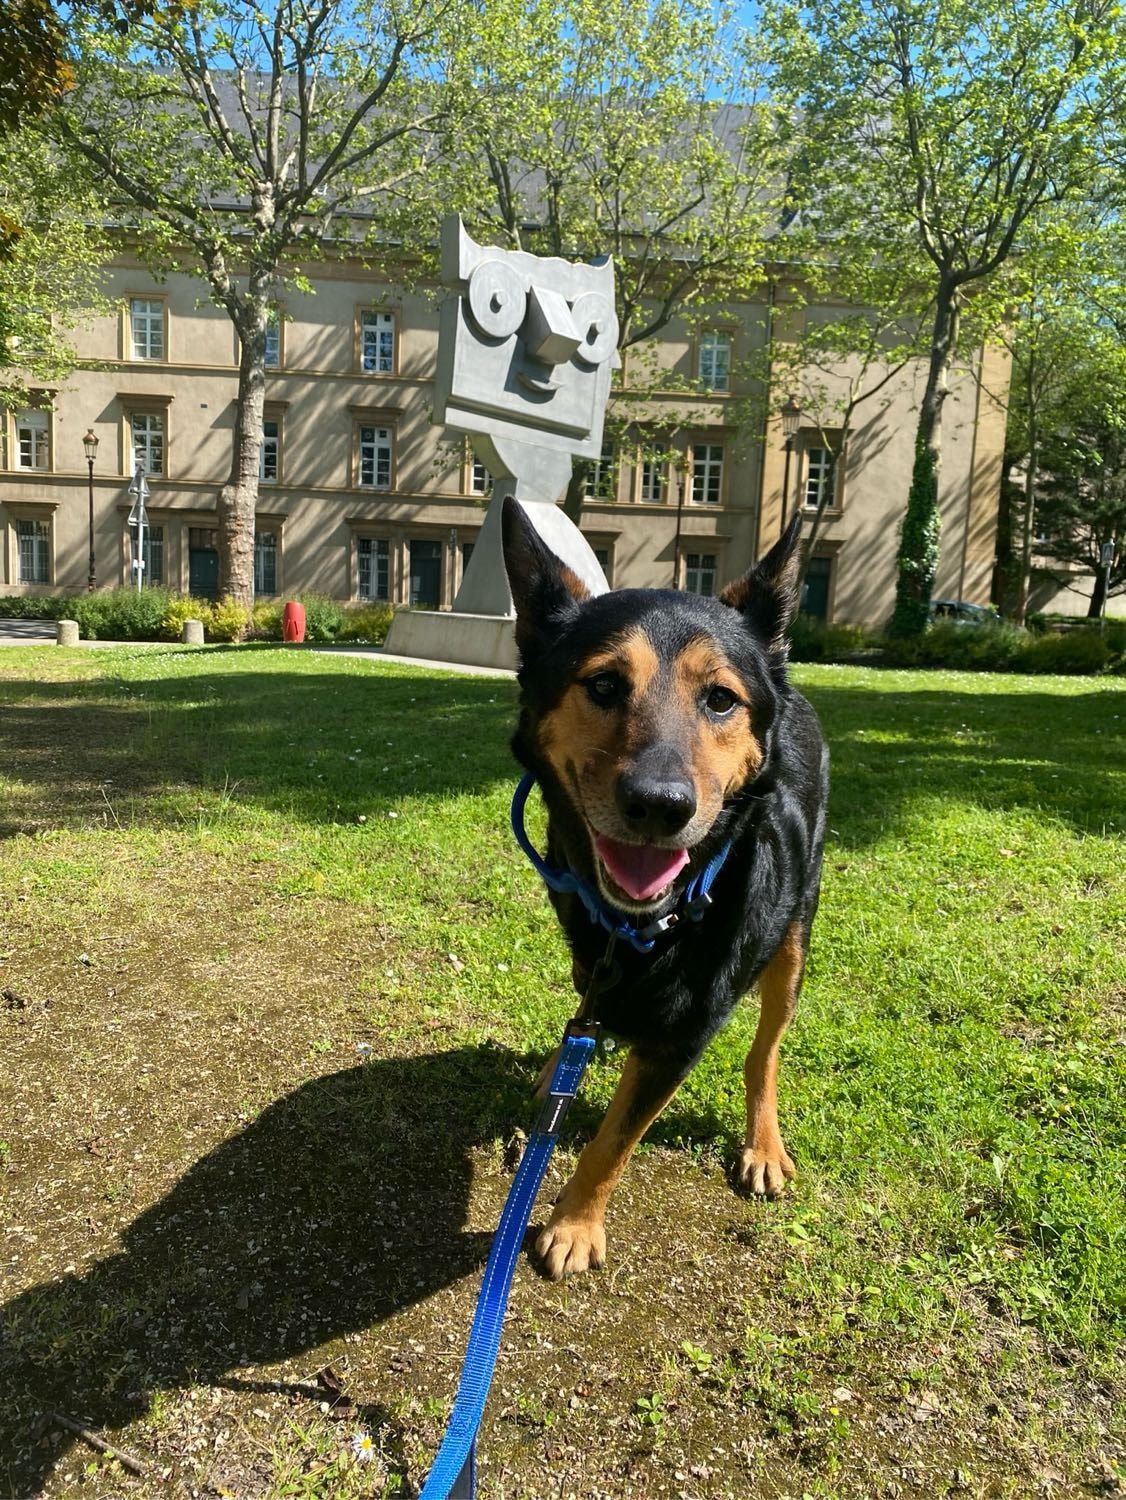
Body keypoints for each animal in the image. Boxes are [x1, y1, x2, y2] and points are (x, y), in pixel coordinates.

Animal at [501, 497, 829, 1280]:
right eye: (603, 685)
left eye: (720, 699)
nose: (659, 805)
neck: (652, 926)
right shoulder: (592, 955)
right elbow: (588, 1025)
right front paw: (562, 1070)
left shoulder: (683, 1039)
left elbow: (614, 1141)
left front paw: (574, 1224)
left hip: (794, 938)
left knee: (765, 1049)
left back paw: (762, 1142)